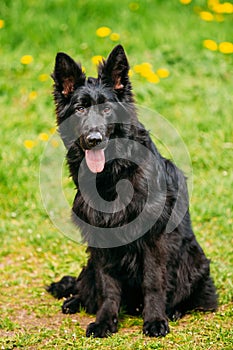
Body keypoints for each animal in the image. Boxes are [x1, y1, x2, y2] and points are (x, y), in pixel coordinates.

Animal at [47, 45, 218, 338]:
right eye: (80, 109)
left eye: (106, 109)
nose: (94, 139)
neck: (113, 176)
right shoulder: (100, 239)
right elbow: (107, 286)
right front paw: (105, 321)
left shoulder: (154, 239)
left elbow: (154, 282)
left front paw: (155, 320)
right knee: (86, 284)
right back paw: (75, 300)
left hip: (194, 261)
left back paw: (173, 310)